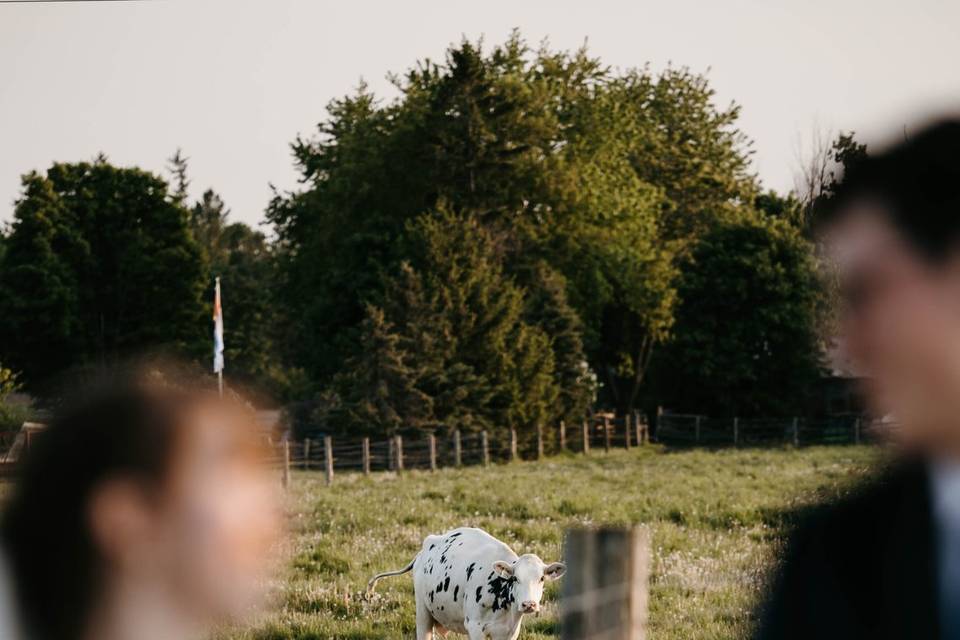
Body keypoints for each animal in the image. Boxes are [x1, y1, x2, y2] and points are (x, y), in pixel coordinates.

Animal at [366, 528, 564, 636]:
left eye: (541, 578)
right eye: (515, 578)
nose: (529, 604)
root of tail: (428, 544)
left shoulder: (509, 632)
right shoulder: (475, 628)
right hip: (423, 614)